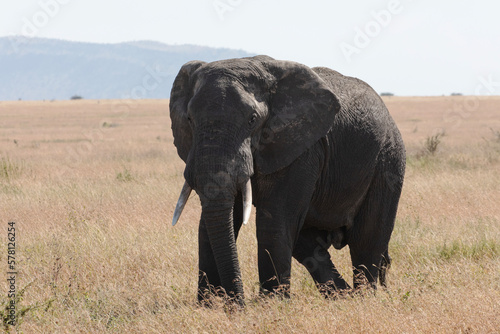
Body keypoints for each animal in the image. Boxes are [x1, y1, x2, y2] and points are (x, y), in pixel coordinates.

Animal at [170, 54, 404, 306]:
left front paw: (271, 305)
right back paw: (343, 296)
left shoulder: (301, 149)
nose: (237, 305)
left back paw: (361, 299)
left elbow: (274, 221)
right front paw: (207, 306)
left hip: (387, 161)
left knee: (366, 241)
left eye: (253, 119)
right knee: (306, 244)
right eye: (189, 119)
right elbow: (214, 222)